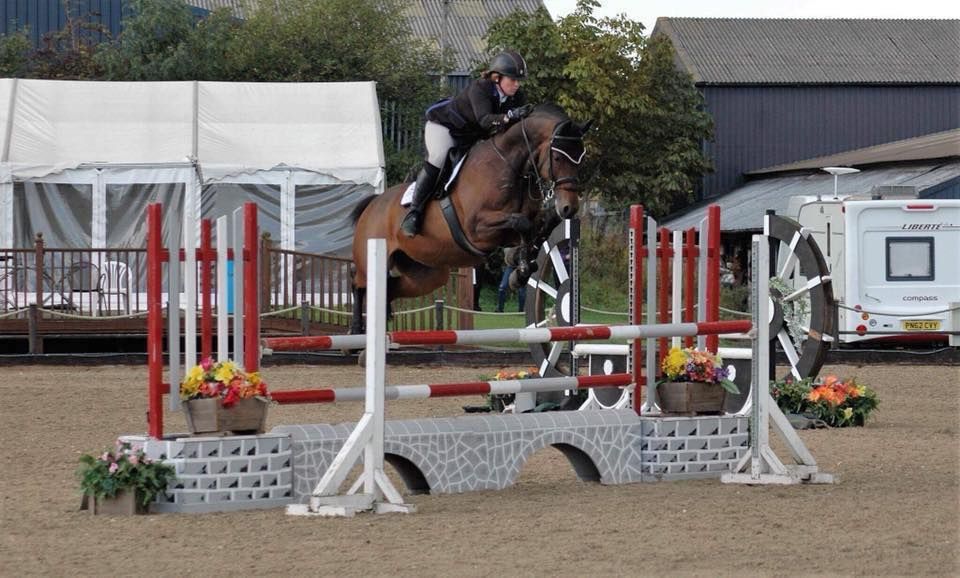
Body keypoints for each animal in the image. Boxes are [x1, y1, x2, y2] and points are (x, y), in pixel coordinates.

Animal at [350, 101, 588, 330]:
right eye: (557, 157)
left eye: (582, 158)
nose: (569, 207)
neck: (511, 167)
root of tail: (373, 204)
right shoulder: (477, 230)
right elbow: (522, 223)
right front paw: (519, 266)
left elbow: (542, 225)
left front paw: (518, 266)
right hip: (370, 260)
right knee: (358, 285)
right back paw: (355, 331)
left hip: (426, 272)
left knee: (390, 289)